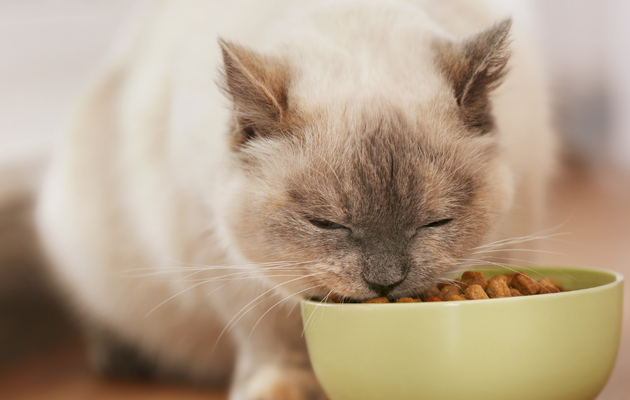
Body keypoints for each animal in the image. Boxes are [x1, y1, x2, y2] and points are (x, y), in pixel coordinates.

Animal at [35, 0, 556, 398]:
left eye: (435, 223)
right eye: (326, 224)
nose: (385, 283)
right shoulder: (227, 269)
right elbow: (272, 342)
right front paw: (281, 388)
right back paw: (118, 357)